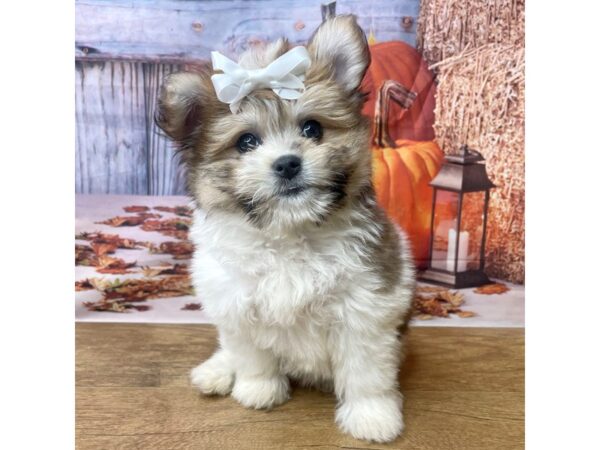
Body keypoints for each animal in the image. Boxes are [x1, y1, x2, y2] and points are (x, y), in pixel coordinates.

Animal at [157, 14, 414, 442]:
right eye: (246, 142)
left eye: (312, 129)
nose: (288, 163)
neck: (290, 233)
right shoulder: (237, 304)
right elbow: (252, 354)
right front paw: (258, 390)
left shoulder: (365, 310)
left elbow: (365, 371)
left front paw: (372, 415)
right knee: (230, 347)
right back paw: (217, 370)